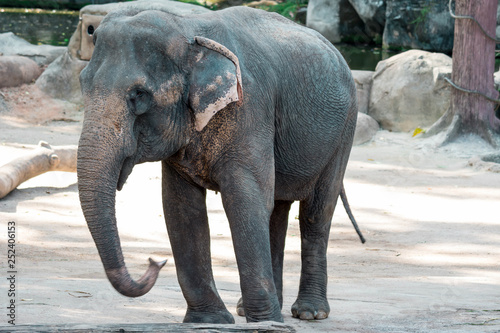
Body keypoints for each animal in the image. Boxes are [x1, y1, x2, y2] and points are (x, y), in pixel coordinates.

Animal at [77, 4, 364, 322]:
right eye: (82, 83)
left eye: (139, 95)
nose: (155, 262)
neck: (187, 30)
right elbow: (181, 209)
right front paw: (210, 320)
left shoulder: (249, 108)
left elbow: (245, 201)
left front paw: (265, 322)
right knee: (277, 212)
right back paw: (252, 309)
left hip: (345, 130)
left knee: (317, 213)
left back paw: (310, 313)